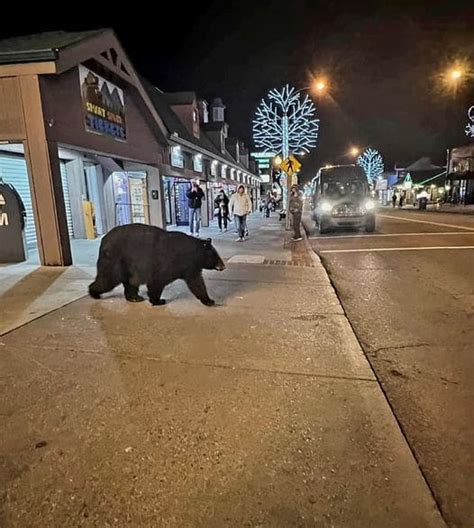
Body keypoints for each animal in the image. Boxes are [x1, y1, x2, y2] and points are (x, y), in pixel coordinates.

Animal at [88, 224, 226, 306]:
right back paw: (94, 293)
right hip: (114, 259)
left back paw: (134, 297)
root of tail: (103, 240)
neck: (191, 254)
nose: (223, 266)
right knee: (107, 279)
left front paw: (208, 300)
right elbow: (157, 281)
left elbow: (197, 283)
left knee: (130, 283)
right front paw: (158, 300)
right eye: (215, 256)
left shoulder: (191, 268)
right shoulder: (167, 263)